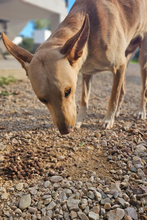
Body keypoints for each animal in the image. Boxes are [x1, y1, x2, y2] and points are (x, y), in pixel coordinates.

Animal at [1, 0, 147, 135]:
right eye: (42, 99)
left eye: (68, 91)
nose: (65, 131)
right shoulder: (87, 73)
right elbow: (84, 100)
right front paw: (80, 121)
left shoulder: (118, 66)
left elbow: (113, 96)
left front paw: (108, 120)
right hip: (126, 60)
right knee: (123, 89)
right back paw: (118, 111)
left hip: (141, 61)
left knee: (141, 89)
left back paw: (140, 111)